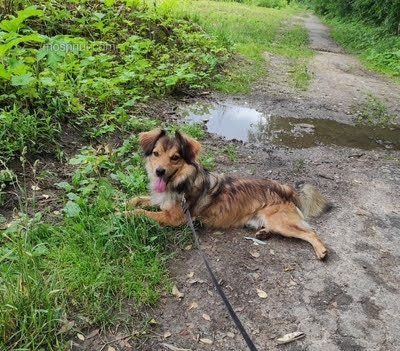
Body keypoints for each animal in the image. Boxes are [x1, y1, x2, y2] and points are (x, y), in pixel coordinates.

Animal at [128, 128, 332, 260]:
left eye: (175, 157)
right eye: (156, 153)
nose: (159, 172)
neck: (181, 183)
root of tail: (284, 188)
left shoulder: (173, 218)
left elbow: (142, 212)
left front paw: (123, 214)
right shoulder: (162, 202)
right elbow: (140, 200)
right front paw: (126, 203)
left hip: (281, 221)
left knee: (311, 233)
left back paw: (321, 250)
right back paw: (264, 233)